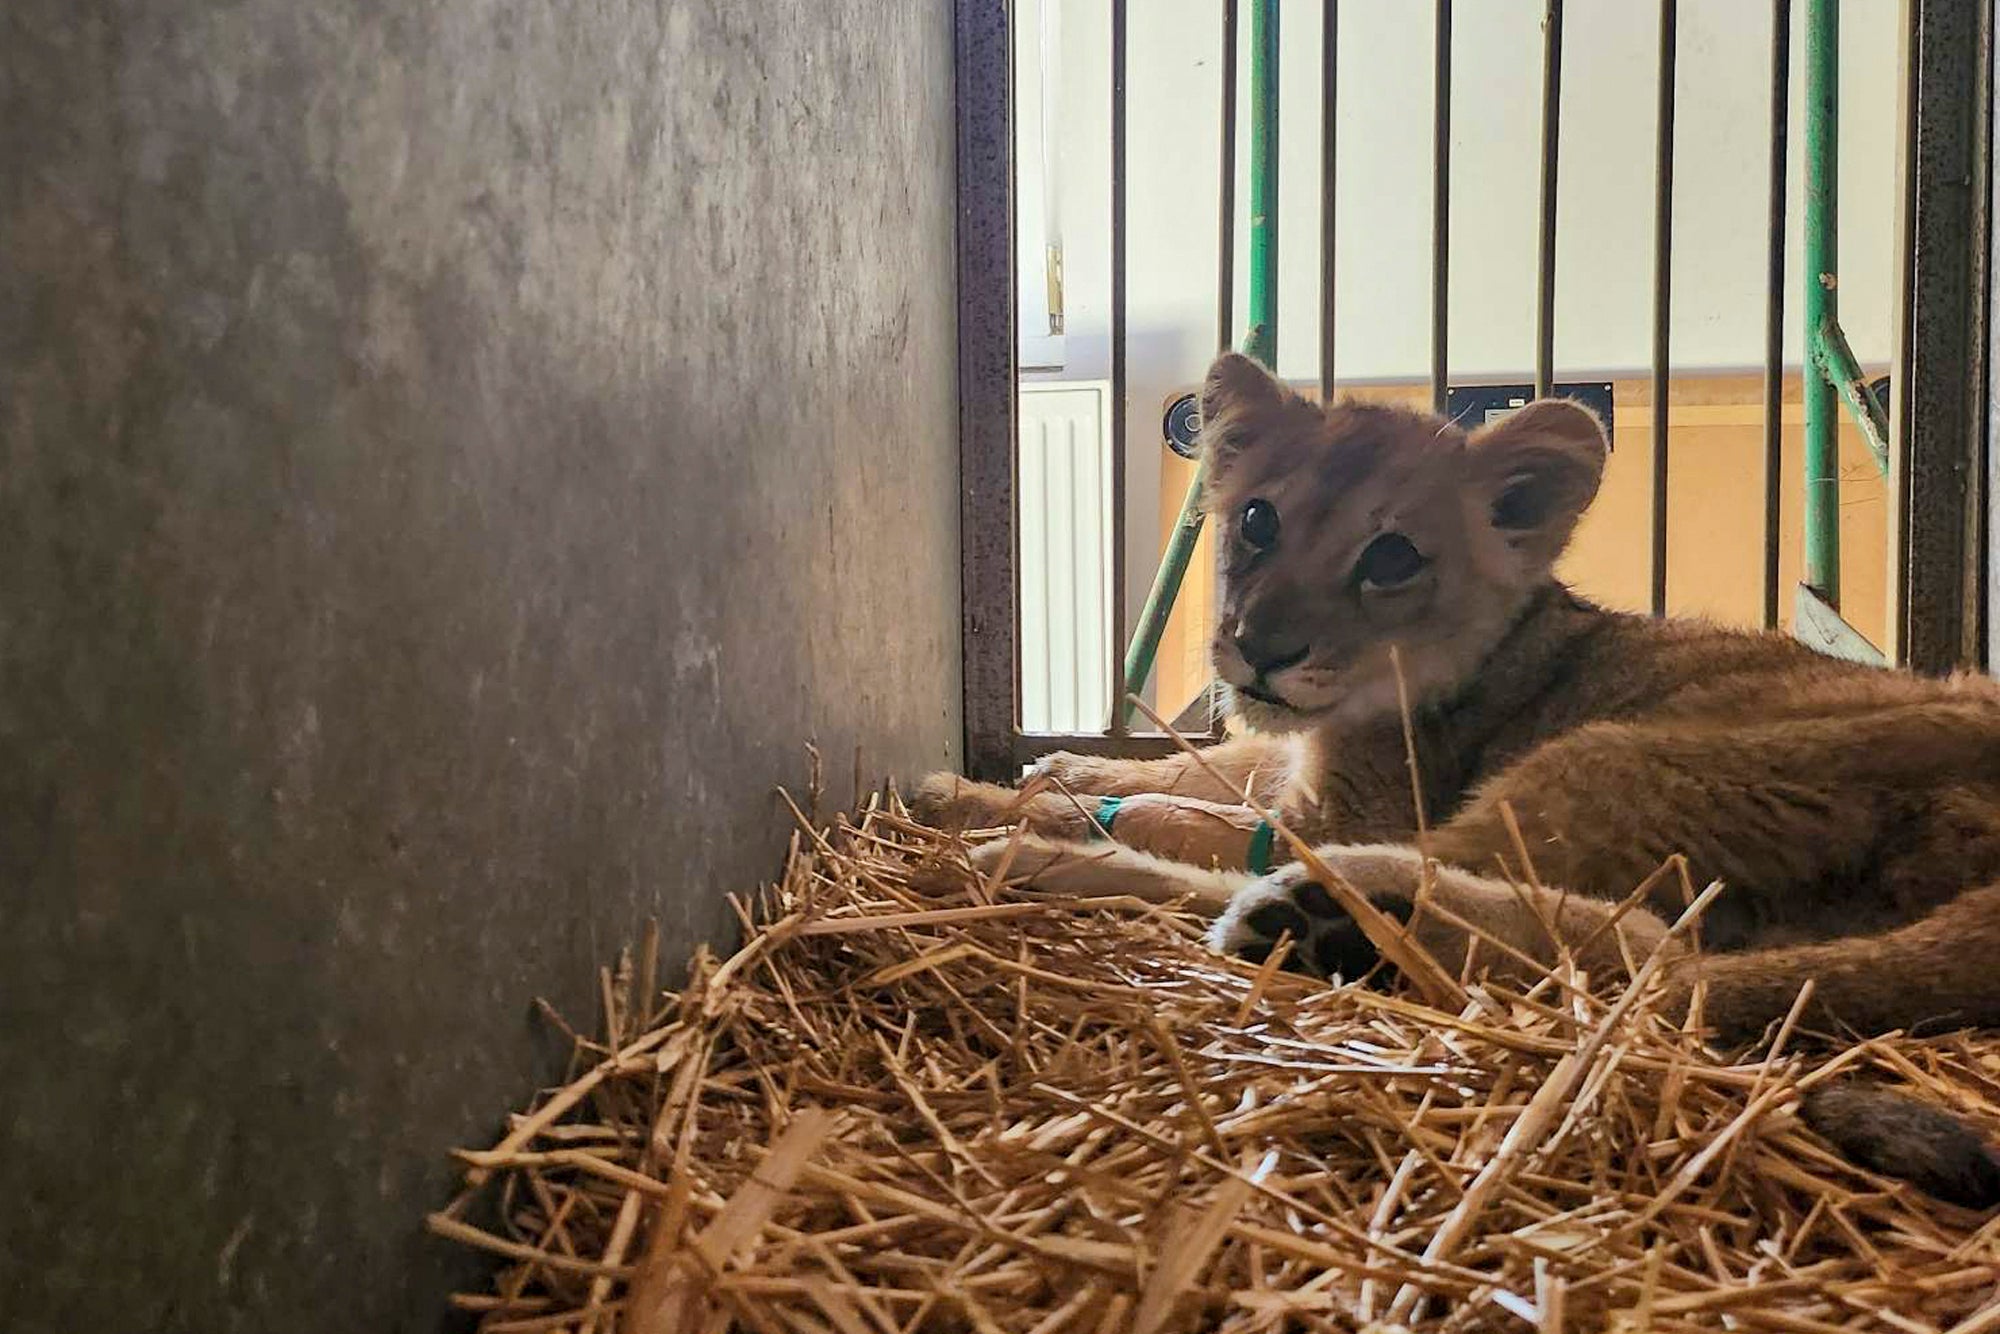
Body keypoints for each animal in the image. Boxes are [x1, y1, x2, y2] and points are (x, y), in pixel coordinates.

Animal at [915, 350, 2000, 1209]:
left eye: (1391, 555)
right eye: (1258, 519)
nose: (1258, 649)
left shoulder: (1354, 804)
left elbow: (1171, 811)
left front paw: (1025, 815)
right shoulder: (1286, 757)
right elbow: (1192, 764)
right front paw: (1022, 776)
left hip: (1600, 760)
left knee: (1640, 948)